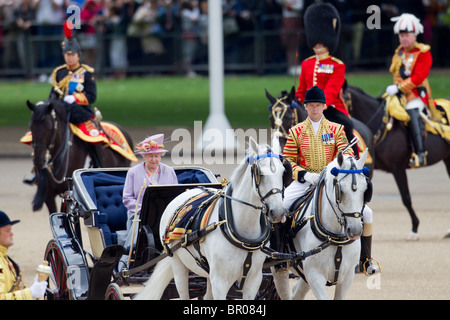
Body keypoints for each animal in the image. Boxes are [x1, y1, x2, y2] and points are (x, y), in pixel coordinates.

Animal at [134, 138, 288, 300]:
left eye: (283, 173)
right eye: (261, 174)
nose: (278, 212)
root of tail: (188, 191)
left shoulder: (254, 280)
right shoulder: (220, 282)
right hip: (178, 264)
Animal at [272, 150, 370, 300]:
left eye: (365, 190)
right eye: (341, 191)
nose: (355, 231)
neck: (336, 237)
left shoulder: (347, 277)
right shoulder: (315, 276)